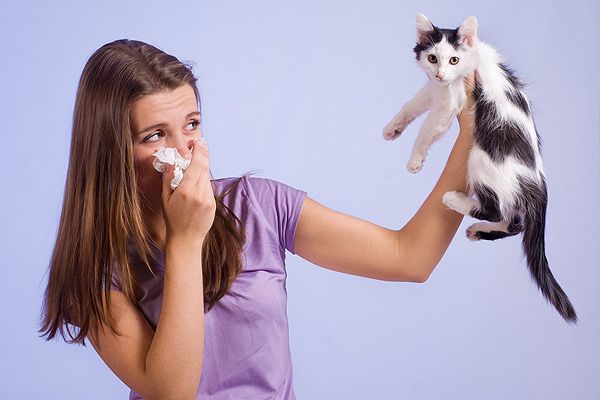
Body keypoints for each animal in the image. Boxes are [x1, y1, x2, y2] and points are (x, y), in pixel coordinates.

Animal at [384, 13, 576, 324]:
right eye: (432, 58)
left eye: (453, 60)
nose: (440, 74)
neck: (472, 60)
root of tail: (539, 182)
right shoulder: (437, 90)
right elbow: (414, 103)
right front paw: (392, 128)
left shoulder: (451, 100)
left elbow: (427, 129)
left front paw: (415, 160)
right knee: (514, 222)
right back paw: (478, 230)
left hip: (481, 157)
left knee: (495, 209)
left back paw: (454, 200)